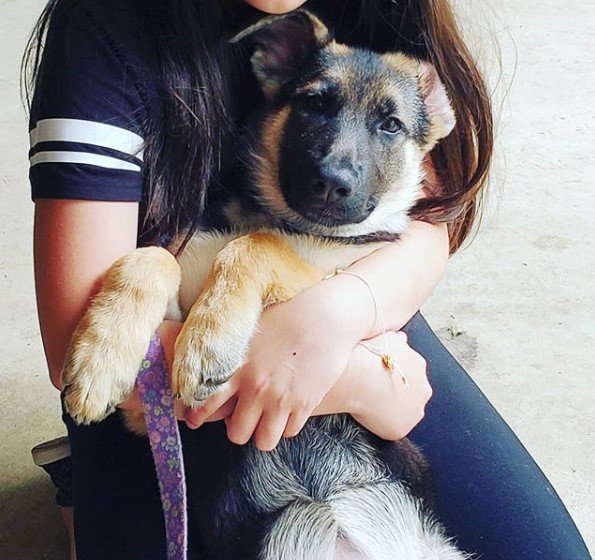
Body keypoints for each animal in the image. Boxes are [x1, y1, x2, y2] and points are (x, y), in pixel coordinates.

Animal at [61, 10, 470, 560]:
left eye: (391, 125)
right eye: (315, 103)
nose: (331, 183)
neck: (286, 220)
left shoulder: (331, 276)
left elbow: (258, 246)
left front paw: (208, 341)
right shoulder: (153, 417)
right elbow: (153, 257)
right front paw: (99, 359)